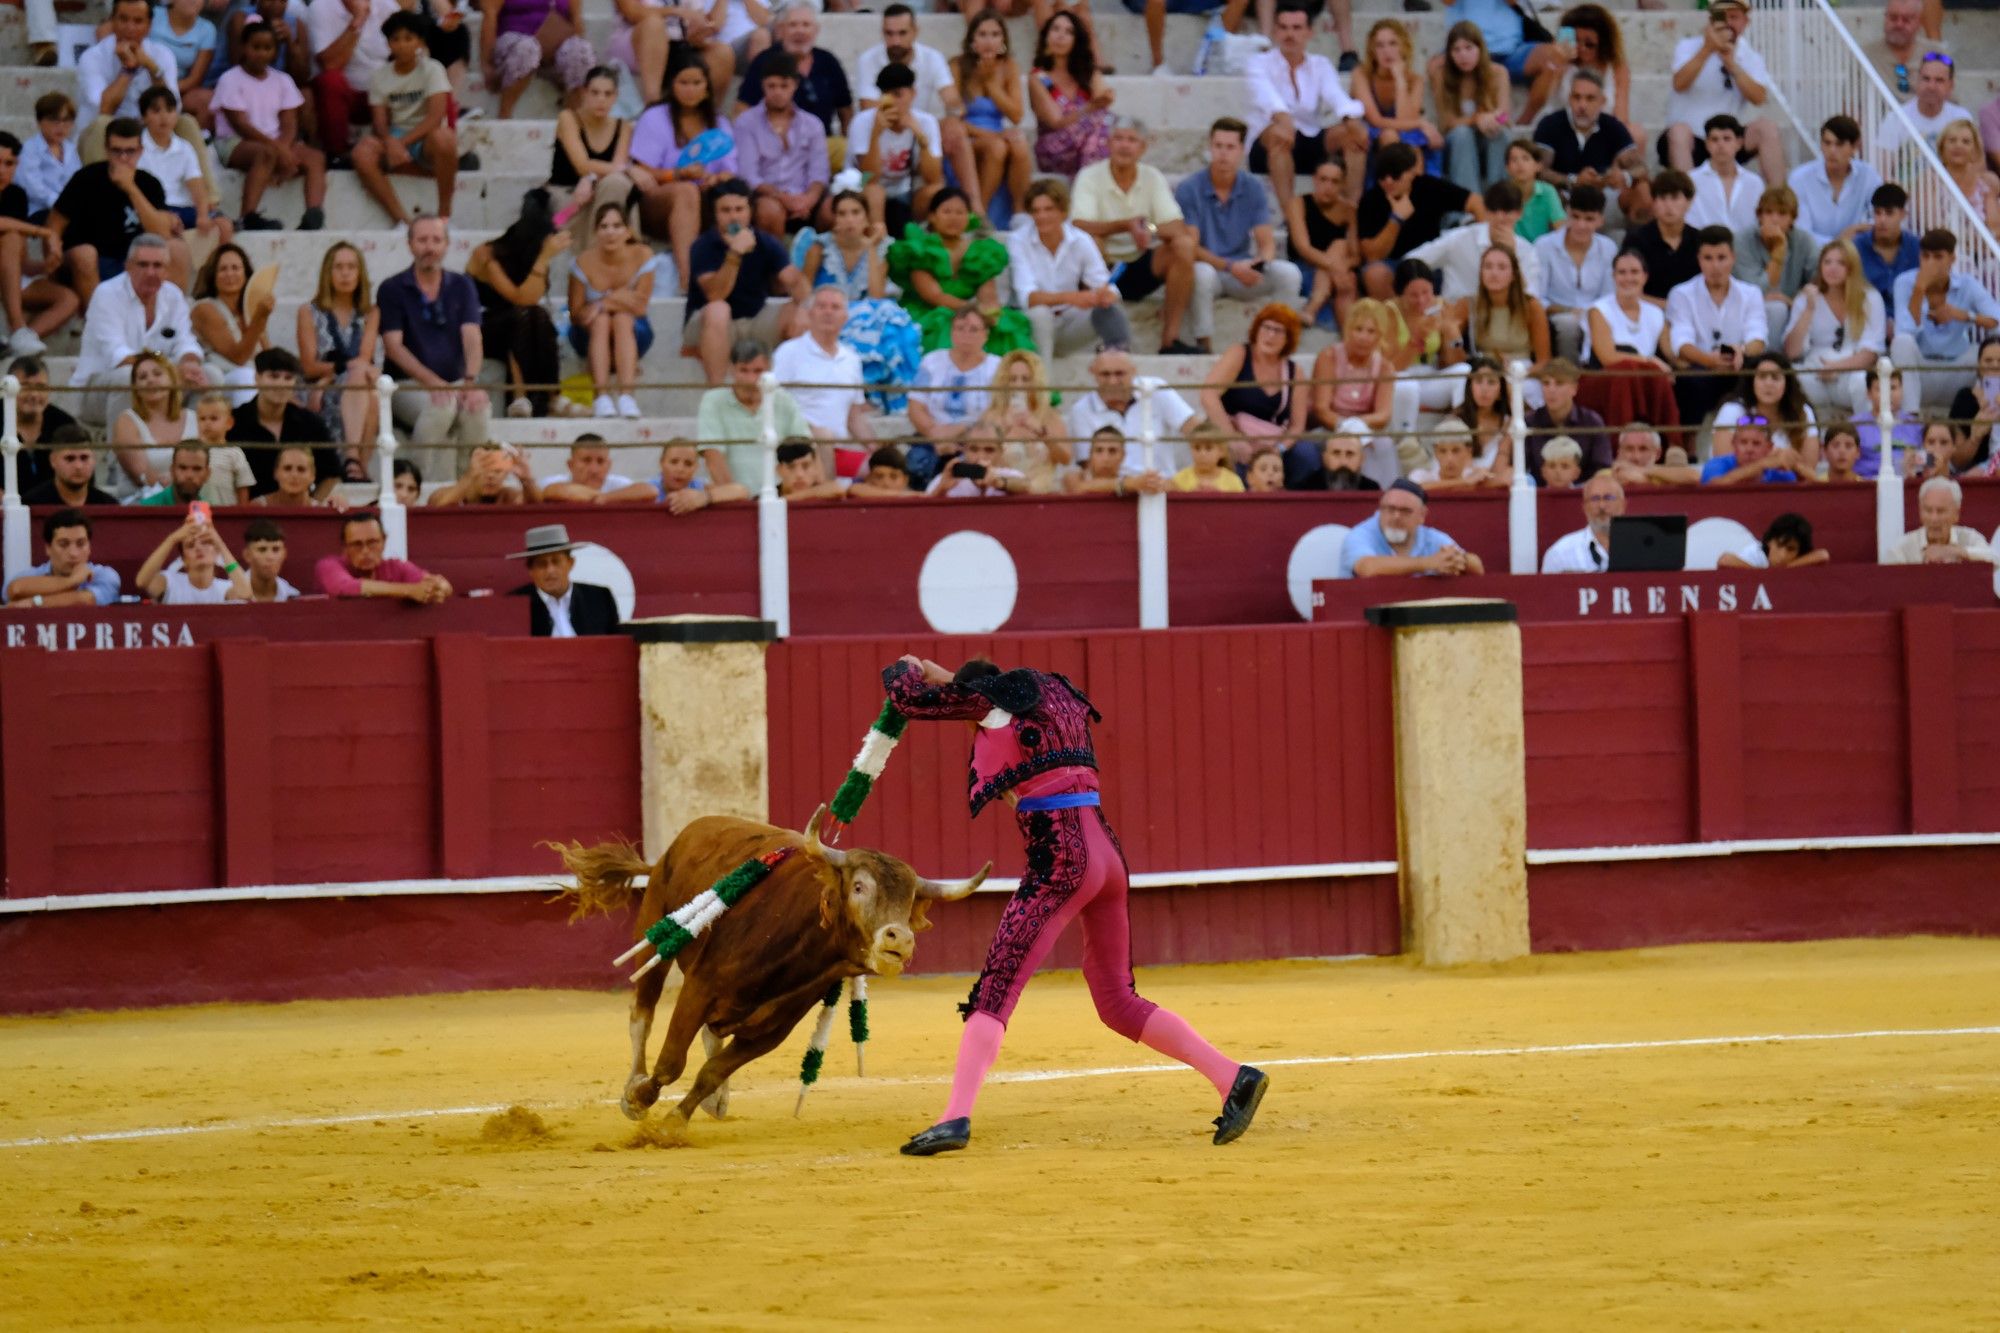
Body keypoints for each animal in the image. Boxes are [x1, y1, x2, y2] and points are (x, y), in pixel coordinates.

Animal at [560, 804, 988, 1128]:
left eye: (909, 898)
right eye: (859, 887)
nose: (899, 940)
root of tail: (682, 839)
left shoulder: (773, 1029)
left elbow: (712, 1071)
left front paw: (675, 1122)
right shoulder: (699, 987)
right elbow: (671, 1063)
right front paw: (640, 1098)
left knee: (709, 1038)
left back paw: (716, 1101)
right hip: (654, 927)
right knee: (642, 1015)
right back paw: (632, 1084)